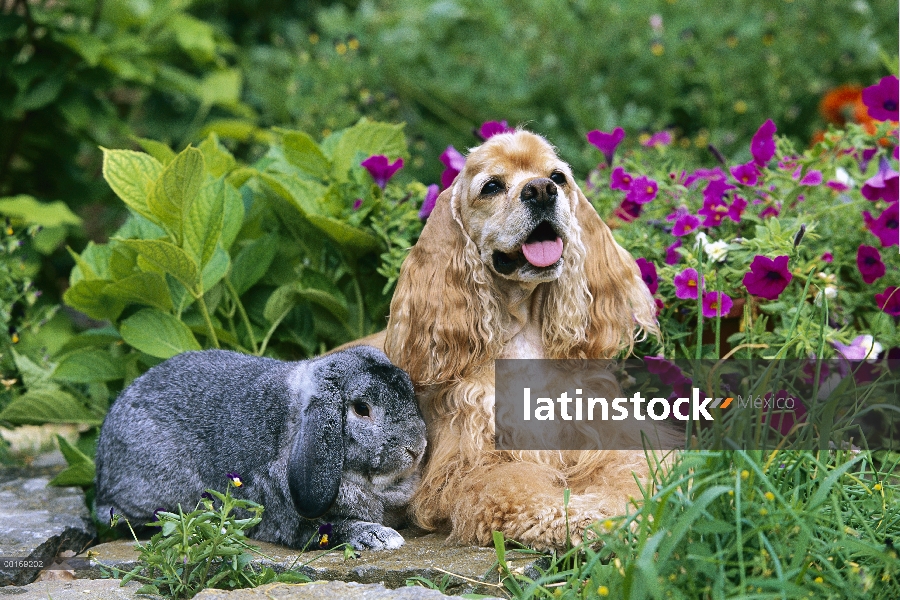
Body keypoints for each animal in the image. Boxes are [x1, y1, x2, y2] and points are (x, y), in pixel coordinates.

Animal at [350, 130, 652, 548]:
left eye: (557, 178)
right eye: (491, 186)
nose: (541, 190)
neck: (524, 331)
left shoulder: (604, 437)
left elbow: (633, 473)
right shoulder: (472, 467)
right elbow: (516, 491)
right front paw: (581, 519)